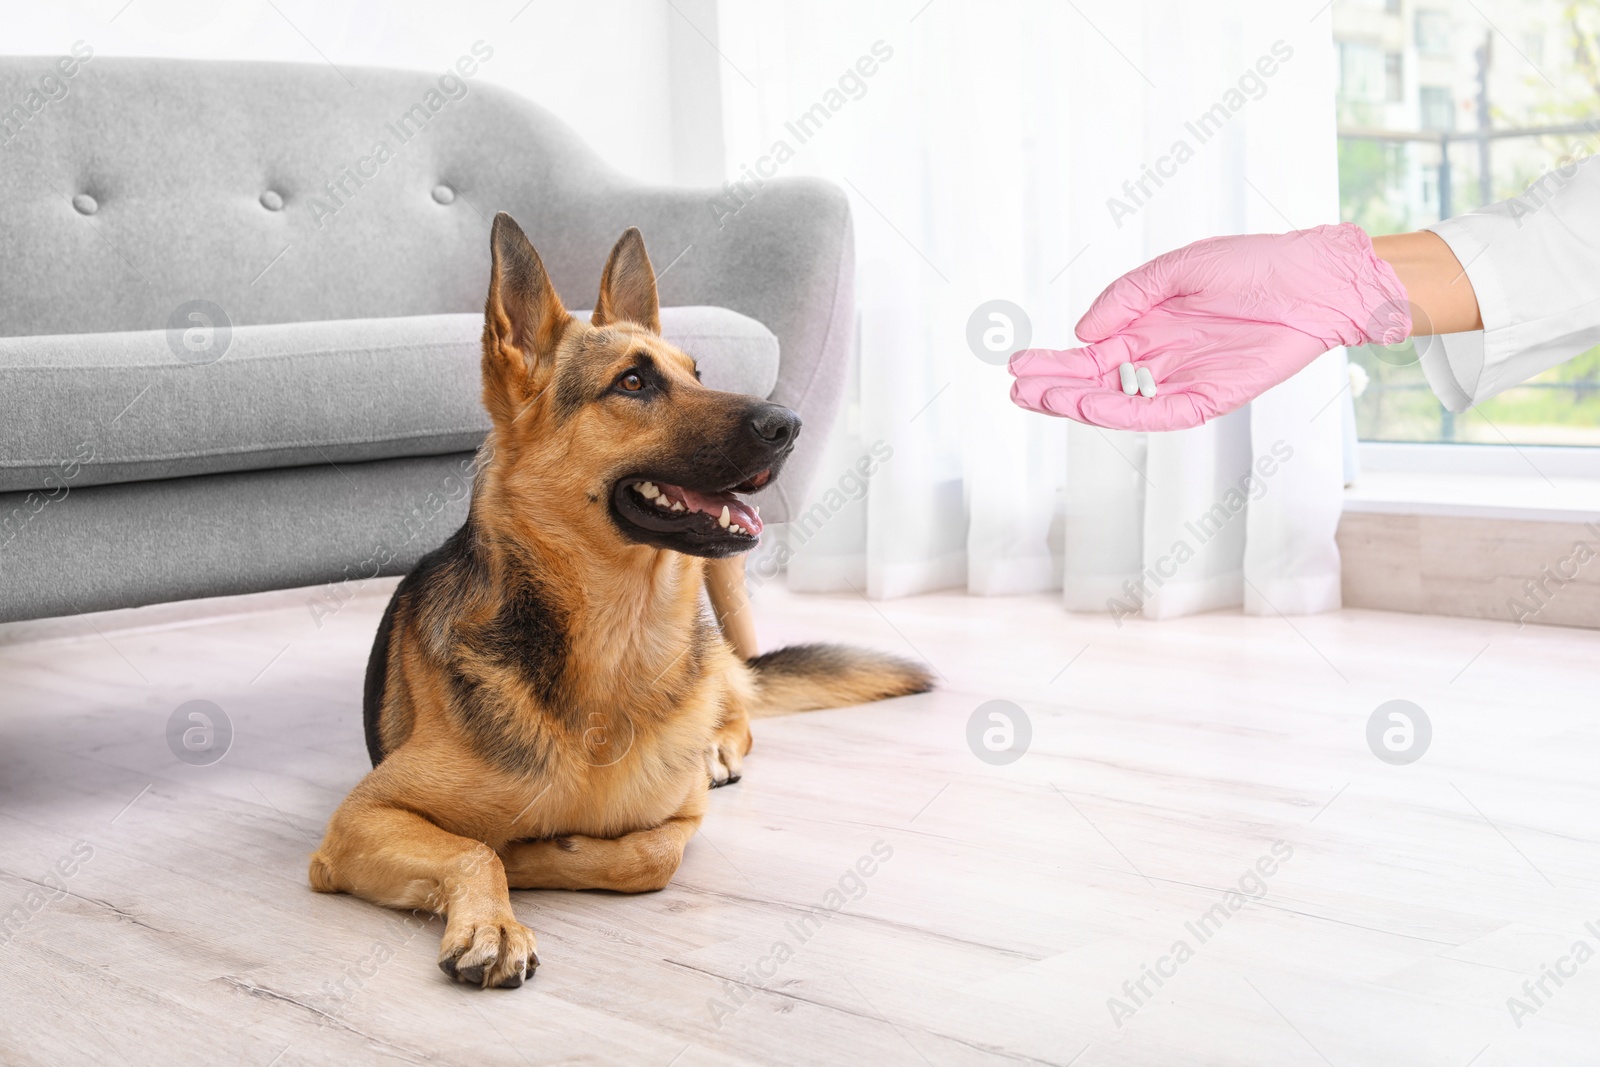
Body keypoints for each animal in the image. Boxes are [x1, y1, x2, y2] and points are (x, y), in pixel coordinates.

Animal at [310, 212, 934, 991]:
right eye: (633, 382)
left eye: (697, 374)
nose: (788, 424)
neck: (616, 637)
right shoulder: (360, 818)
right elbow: (474, 848)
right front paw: (494, 919)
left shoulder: (680, 820)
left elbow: (647, 855)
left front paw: (536, 855)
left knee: (738, 703)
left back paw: (719, 745)